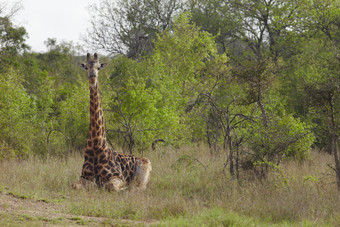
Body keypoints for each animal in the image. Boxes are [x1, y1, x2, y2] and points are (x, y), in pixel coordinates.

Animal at [71, 53, 151, 192]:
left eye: (98, 67)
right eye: (86, 67)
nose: (92, 77)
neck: (96, 146)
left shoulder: (118, 177)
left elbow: (111, 186)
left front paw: (122, 188)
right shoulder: (85, 176)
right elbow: (74, 185)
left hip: (146, 163)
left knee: (140, 187)